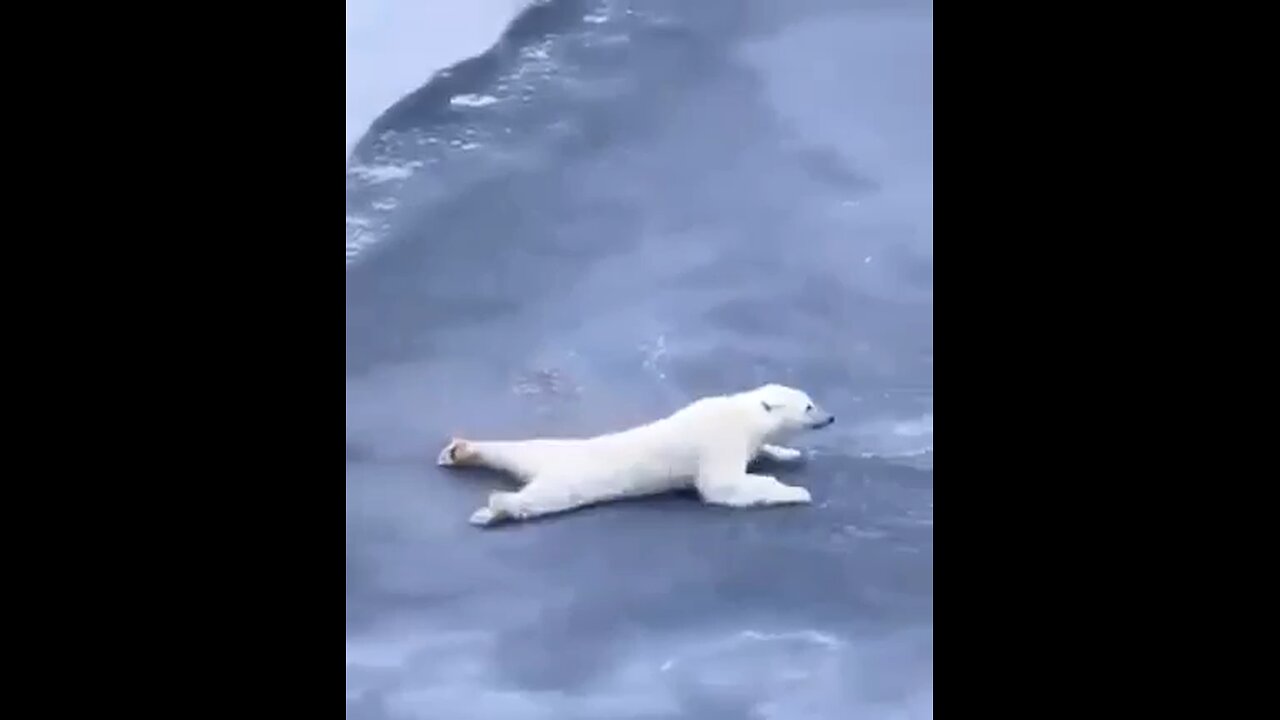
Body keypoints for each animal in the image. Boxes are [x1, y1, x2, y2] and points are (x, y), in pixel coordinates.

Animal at [435, 381, 834, 527]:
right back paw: (494, 507)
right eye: (809, 406)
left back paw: (460, 450)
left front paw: (788, 453)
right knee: (541, 499)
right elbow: (722, 485)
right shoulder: (719, 440)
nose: (830, 417)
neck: (741, 414)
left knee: (514, 449)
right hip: (572, 479)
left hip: (546, 450)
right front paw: (795, 491)